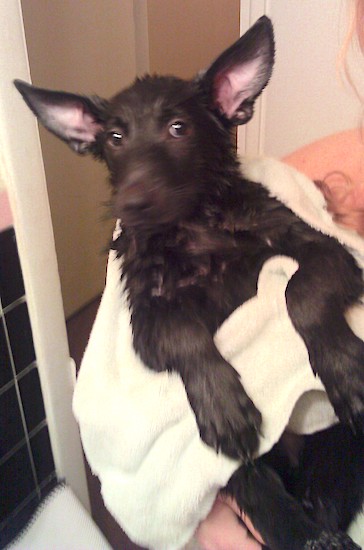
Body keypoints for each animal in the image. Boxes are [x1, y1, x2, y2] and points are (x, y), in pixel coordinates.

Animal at [15, 17, 364, 550]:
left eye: (178, 128)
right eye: (114, 137)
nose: (131, 204)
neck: (194, 227)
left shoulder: (325, 248)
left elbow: (299, 290)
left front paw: (345, 371)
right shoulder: (146, 318)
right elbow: (186, 335)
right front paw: (222, 405)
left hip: (336, 451)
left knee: (322, 496)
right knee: (256, 484)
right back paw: (302, 532)